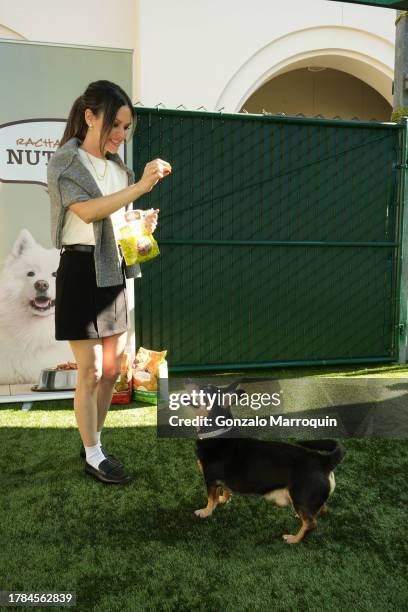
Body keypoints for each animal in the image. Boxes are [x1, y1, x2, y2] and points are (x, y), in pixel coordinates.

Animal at [193, 382, 346, 544]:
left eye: (206, 390)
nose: (195, 383)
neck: (217, 431)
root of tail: (324, 460)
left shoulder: (210, 479)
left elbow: (211, 498)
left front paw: (206, 511)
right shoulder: (221, 480)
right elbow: (225, 490)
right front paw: (224, 499)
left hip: (300, 497)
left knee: (311, 524)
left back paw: (293, 539)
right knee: (321, 510)